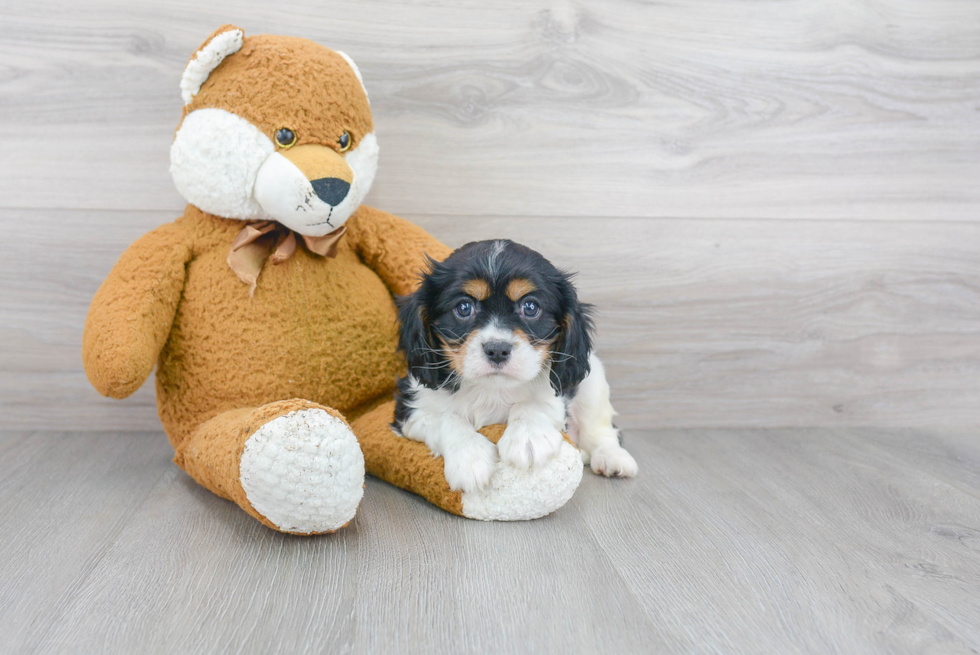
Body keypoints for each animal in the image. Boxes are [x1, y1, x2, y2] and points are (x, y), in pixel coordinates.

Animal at [394, 240, 640, 492]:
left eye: (530, 307)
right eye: (464, 308)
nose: (497, 349)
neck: (492, 388)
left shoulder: (555, 396)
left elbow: (532, 404)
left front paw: (527, 438)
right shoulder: (412, 409)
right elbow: (447, 419)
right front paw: (469, 457)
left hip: (594, 383)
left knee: (601, 430)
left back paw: (612, 458)